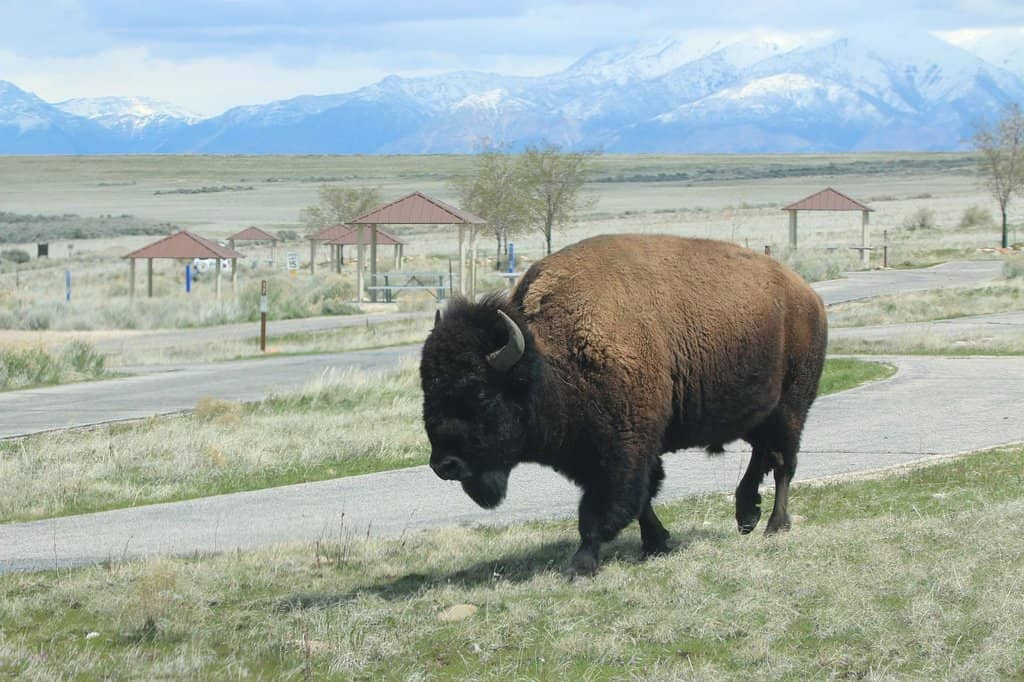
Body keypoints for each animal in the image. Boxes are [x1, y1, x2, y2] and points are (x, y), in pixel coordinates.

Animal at [420, 234, 827, 575]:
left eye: (480, 392)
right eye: (427, 389)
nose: (444, 464)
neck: (549, 356)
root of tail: (806, 292)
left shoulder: (621, 450)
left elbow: (602, 508)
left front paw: (580, 564)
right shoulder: (609, 451)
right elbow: (642, 498)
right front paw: (656, 544)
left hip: (792, 407)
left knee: (783, 462)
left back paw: (774, 526)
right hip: (760, 413)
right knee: (764, 454)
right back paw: (746, 516)